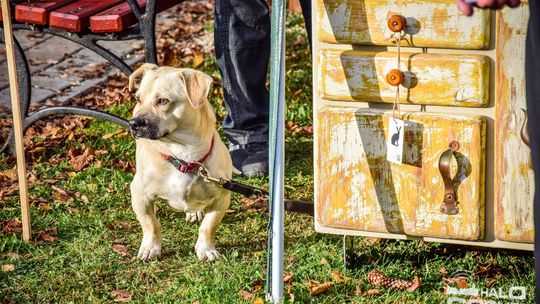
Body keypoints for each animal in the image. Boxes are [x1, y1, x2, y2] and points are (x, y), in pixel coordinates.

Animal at [130, 63, 233, 260]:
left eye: (162, 101)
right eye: (138, 99)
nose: (133, 123)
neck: (183, 155)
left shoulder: (222, 198)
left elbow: (209, 226)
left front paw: (206, 248)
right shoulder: (139, 195)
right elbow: (151, 224)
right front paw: (151, 248)